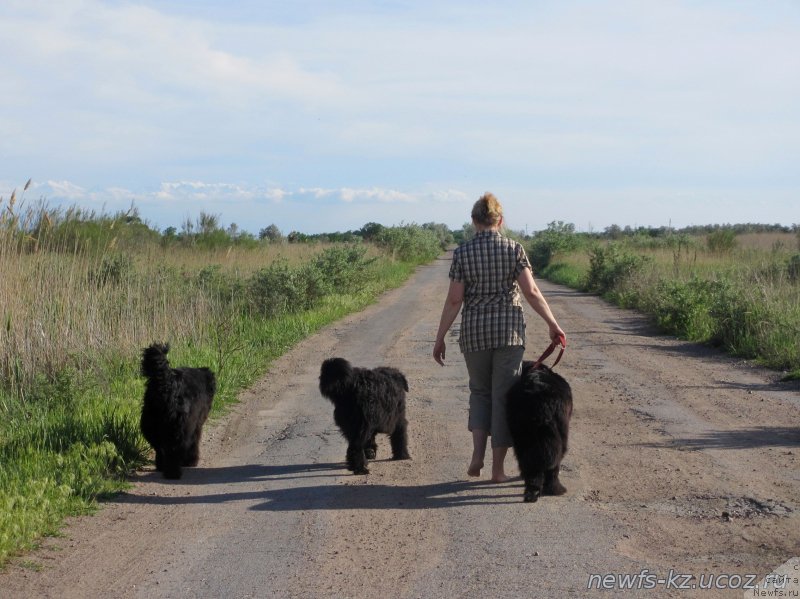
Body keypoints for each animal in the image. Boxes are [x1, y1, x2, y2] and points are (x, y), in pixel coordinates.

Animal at [140, 344, 216, 480]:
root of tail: (166, 385)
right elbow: (194, 442)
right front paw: (191, 461)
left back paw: (162, 466)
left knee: (160, 448)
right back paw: (173, 472)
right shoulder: (196, 425)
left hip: (151, 426)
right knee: (173, 450)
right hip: (179, 427)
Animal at [506, 364, 576, 504]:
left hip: (523, 437)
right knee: (553, 467)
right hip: (560, 437)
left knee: (529, 465)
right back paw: (556, 489)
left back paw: (531, 493)